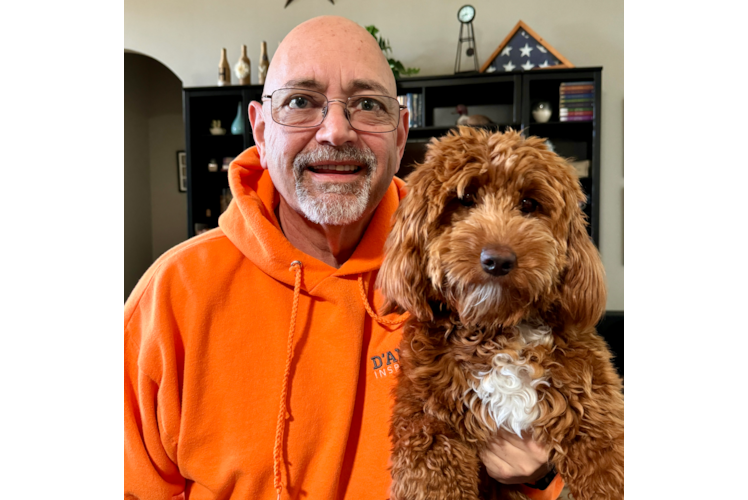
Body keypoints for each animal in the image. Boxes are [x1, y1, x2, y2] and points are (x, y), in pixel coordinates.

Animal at [376, 128, 624, 500]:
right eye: (464, 199)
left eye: (529, 204)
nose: (497, 260)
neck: (497, 331)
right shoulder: (431, 433)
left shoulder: (595, 416)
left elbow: (606, 472)